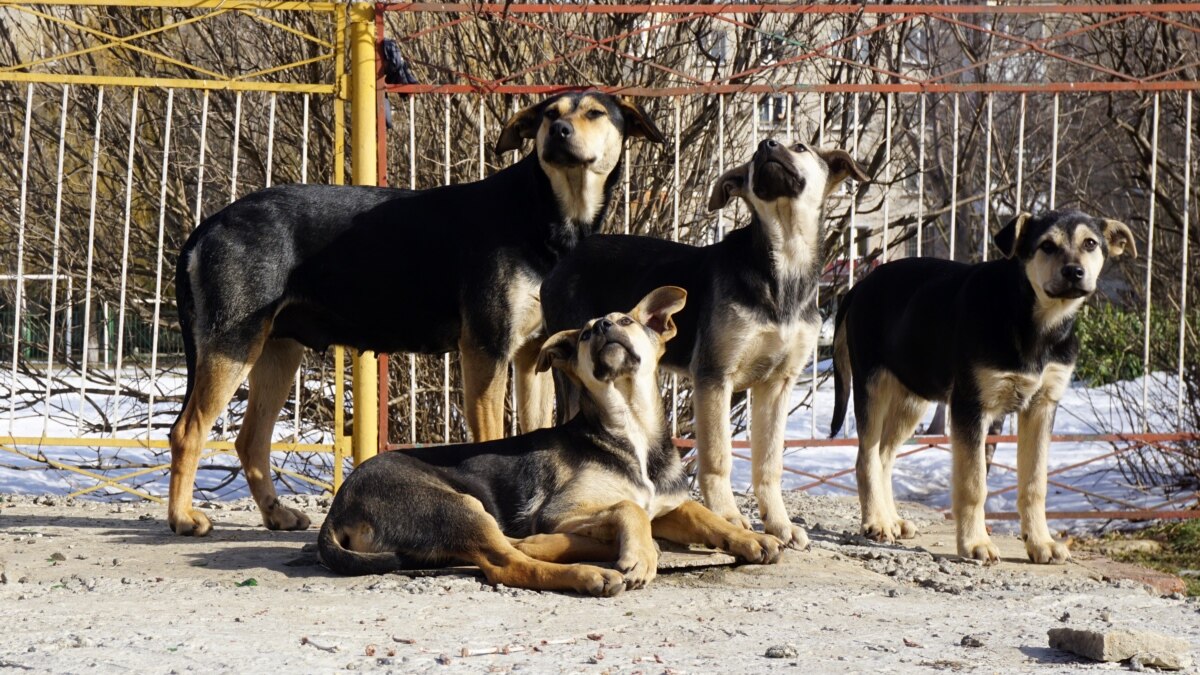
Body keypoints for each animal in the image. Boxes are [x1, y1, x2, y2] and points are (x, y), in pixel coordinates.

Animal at [166, 89, 667, 533]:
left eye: (596, 113)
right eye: (549, 115)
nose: (559, 133)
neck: (543, 207)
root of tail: (209, 225)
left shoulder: (531, 358)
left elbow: (536, 426)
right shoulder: (485, 350)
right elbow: (490, 436)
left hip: (276, 350)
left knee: (251, 439)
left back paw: (276, 515)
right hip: (232, 343)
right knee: (187, 431)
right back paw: (183, 518)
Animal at [321, 285, 787, 590]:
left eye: (625, 320)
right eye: (583, 334)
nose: (602, 325)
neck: (631, 433)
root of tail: (337, 509)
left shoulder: (665, 503)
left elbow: (701, 514)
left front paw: (753, 538)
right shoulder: (560, 510)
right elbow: (627, 508)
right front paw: (638, 557)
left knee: (515, 547)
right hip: (455, 505)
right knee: (506, 562)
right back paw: (591, 572)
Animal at [542, 139, 864, 542]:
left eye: (801, 147)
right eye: (755, 157)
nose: (766, 144)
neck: (783, 268)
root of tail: (567, 258)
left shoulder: (778, 384)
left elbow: (769, 463)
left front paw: (779, 523)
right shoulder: (714, 375)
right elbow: (716, 456)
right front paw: (727, 517)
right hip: (574, 374)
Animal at [830, 210, 1137, 562]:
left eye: (1090, 244)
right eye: (1046, 246)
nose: (1074, 272)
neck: (1033, 320)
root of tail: (859, 286)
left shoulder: (1042, 406)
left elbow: (1035, 483)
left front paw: (1041, 543)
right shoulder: (971, 406)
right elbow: (973, 483)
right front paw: (974, 543)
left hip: (911, 397)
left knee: (883, 455)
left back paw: (892, 519)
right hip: (873, 387)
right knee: (866, 457)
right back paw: (876, 521)